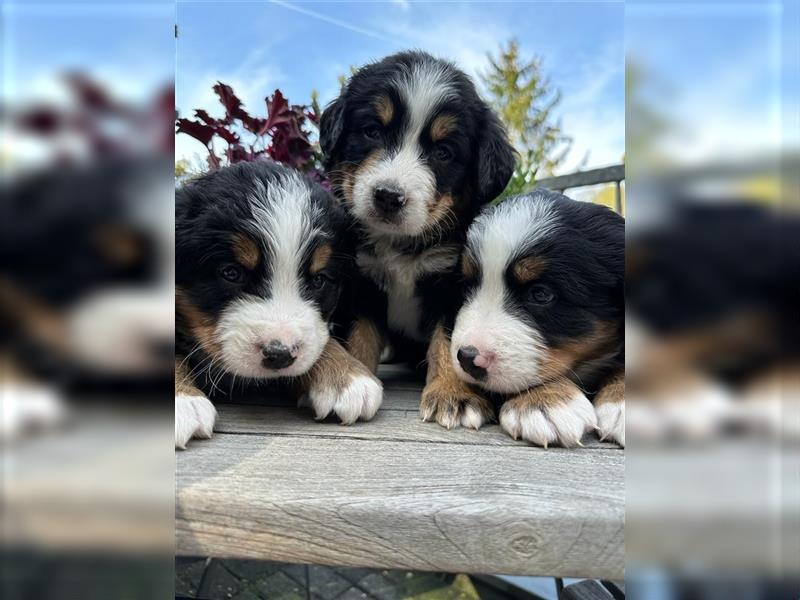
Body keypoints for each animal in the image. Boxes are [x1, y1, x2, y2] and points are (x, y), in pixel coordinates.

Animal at [177, 162, 382, 448]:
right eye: (231, 273)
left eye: (319, 280)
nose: (280, 354)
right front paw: (183, 401)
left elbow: (321, 338)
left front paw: (346, 377)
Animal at [320, 52, 516, 426]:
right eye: (372, 131)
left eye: (443, 152)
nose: (388, 196)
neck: (399, 245)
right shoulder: (362, 282)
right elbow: (360, 337)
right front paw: (355, 377)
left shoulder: (451, 282)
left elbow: (448, 341)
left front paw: (455, 394)